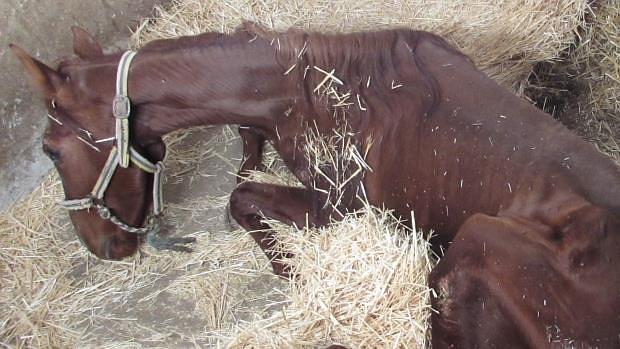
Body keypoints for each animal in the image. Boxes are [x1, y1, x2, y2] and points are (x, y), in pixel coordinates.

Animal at [12, 25, 620, 348]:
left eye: (50, 149)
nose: (104, 246)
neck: (307, 88)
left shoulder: (341, 207)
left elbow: (241, 198)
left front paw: (288, 267)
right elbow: (245, 160)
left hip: (479, 239)